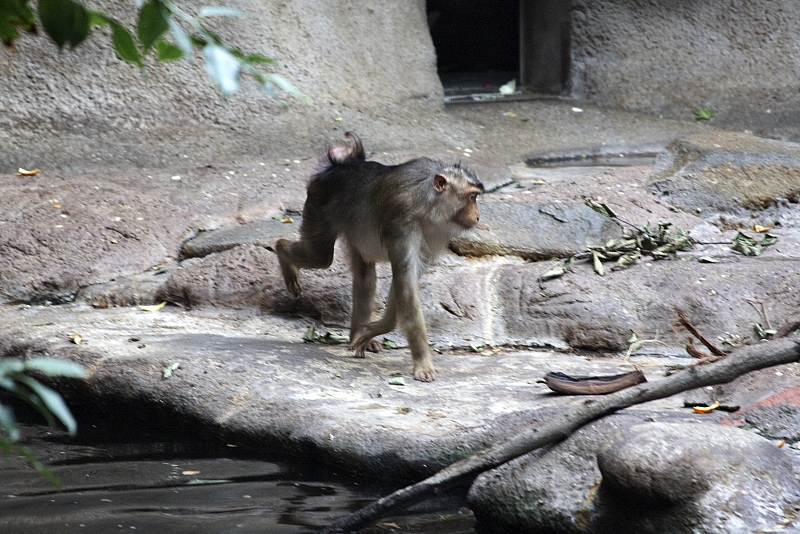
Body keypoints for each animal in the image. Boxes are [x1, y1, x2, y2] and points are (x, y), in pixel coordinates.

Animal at [278, 132, 484, 384]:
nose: (477, 216)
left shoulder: (434, 236)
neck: (428, 205)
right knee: (320, 256)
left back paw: (357, 333)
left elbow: (404, 283)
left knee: (365, 278)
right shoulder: (402, 225)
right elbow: (406, 286)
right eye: (472, 197)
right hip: (318, 205)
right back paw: (282, 254)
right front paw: (423, 363)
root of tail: (339, 166)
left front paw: (373, 330)